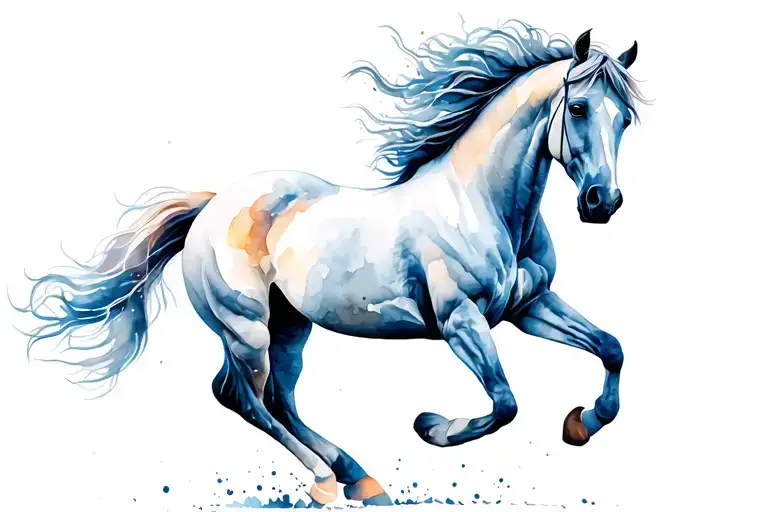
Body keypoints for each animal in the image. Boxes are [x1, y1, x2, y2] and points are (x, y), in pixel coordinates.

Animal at [14, 21, 647, 507]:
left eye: (625, 120)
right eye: (579, 107)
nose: (603, 203)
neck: (480, 203)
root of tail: (210, 208)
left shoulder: (529, 306)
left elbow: (611, 347)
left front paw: (582, 423)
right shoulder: (460, 321)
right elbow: (505, 403)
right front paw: (431, 426)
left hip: (290, 326)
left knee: (277, 397)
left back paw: (358, 477)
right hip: (246, 329)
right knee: (242, 397)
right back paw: (325, 480)